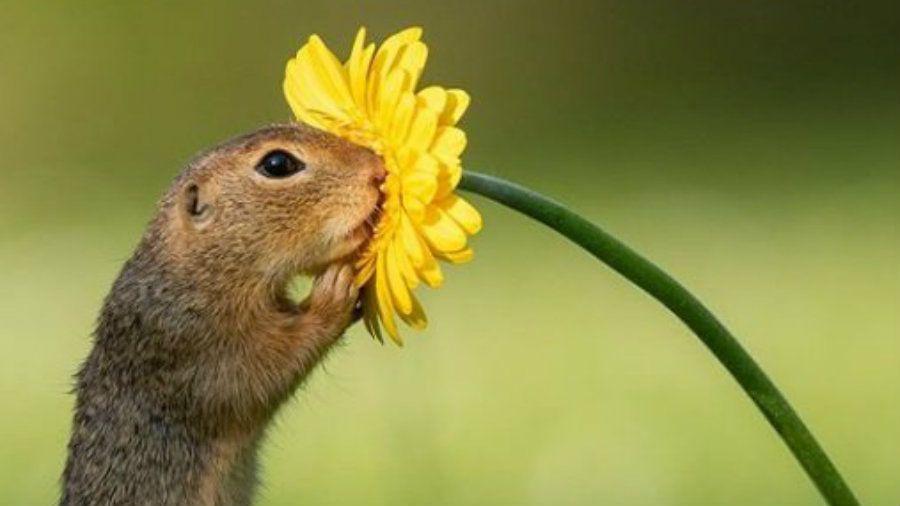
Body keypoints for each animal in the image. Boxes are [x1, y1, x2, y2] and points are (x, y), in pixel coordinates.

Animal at [60, 123, 385, 506]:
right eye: (278, 164)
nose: (377, 169)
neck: (202, 270)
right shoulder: (194, 345)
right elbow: (264, 370)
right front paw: (331, 299)